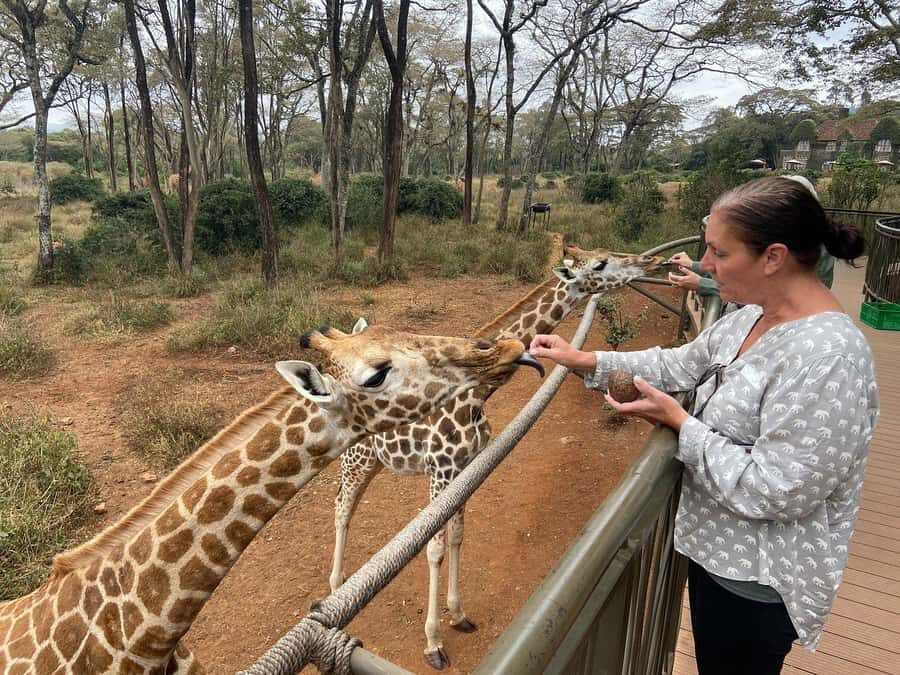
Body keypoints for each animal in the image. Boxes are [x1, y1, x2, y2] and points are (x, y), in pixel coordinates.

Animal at [329, 246, 667, 669]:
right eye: (600, 264)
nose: (652, 263)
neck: (476, 395)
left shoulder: (464, 468)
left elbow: (458, 537)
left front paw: (458, 615)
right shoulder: (440, 469)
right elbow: (435, 549)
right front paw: (433, 644)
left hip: (375, 461)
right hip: (357, 457)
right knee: (341, 507)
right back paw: (335, 588)